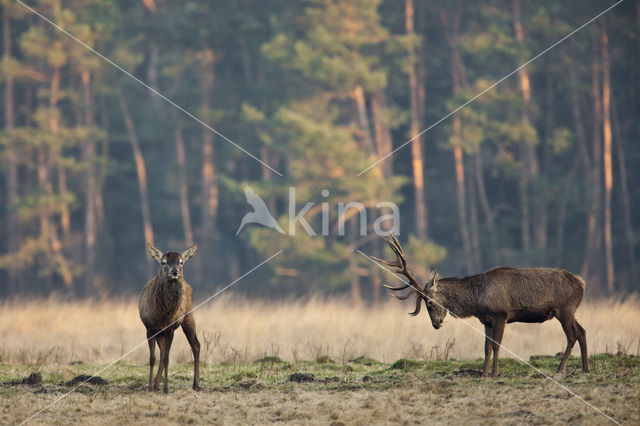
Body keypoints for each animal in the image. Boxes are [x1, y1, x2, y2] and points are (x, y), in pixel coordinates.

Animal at [140, 243, 200, 392]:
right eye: (163, 262)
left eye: (181, 262)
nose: (175, 271)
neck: (162, 315)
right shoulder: (149, 328)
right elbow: (153, 358)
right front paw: (150, 387)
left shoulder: (170, 329)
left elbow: (167, 359)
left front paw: (166, 389)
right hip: (160, 332)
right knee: (162, 353)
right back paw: (156, 385)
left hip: (189, 315)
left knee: (196, 345)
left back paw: (196, 384)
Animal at [370, 235, 592, 378]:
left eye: (430, 303)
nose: (436, 324)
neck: (477, 301)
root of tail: (582, 282)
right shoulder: (486, 320)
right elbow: (486, 347)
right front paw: (484, 374)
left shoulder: (501, 315)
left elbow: (496, 345)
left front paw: (494, 373)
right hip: (570, 311)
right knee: (582, 331)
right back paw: (585, 368)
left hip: (565, 309)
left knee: (572, 336)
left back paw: (560, 370)